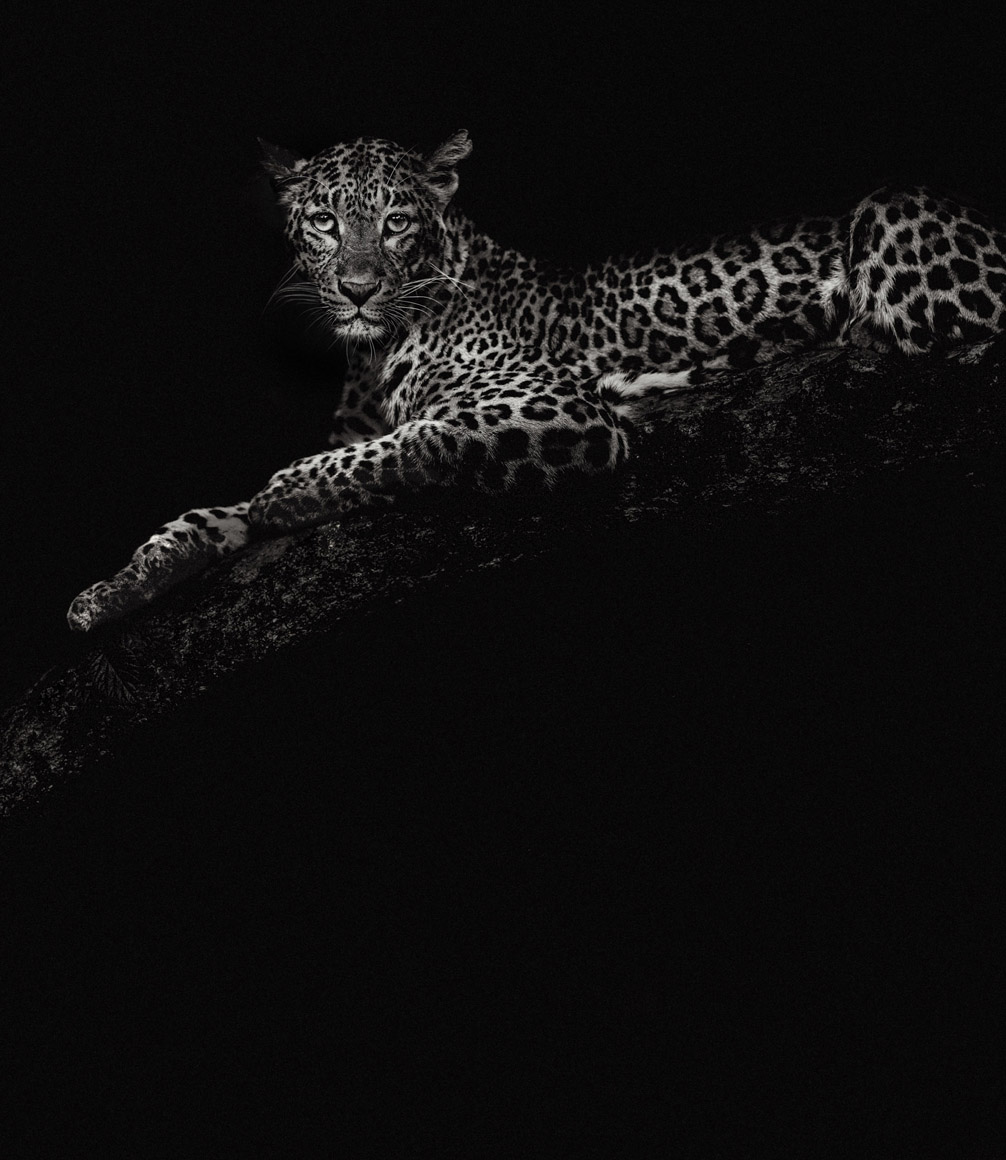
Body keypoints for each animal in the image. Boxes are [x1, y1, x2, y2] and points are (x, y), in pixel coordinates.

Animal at [66, 130, 1006, 632]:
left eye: (396, 221)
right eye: (326, 222)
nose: (359, 287)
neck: (374, 352)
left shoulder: (556, 412)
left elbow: (395, 447)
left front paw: (285, 491)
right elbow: (209, 514)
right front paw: (117, 589)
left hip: (894, 212)